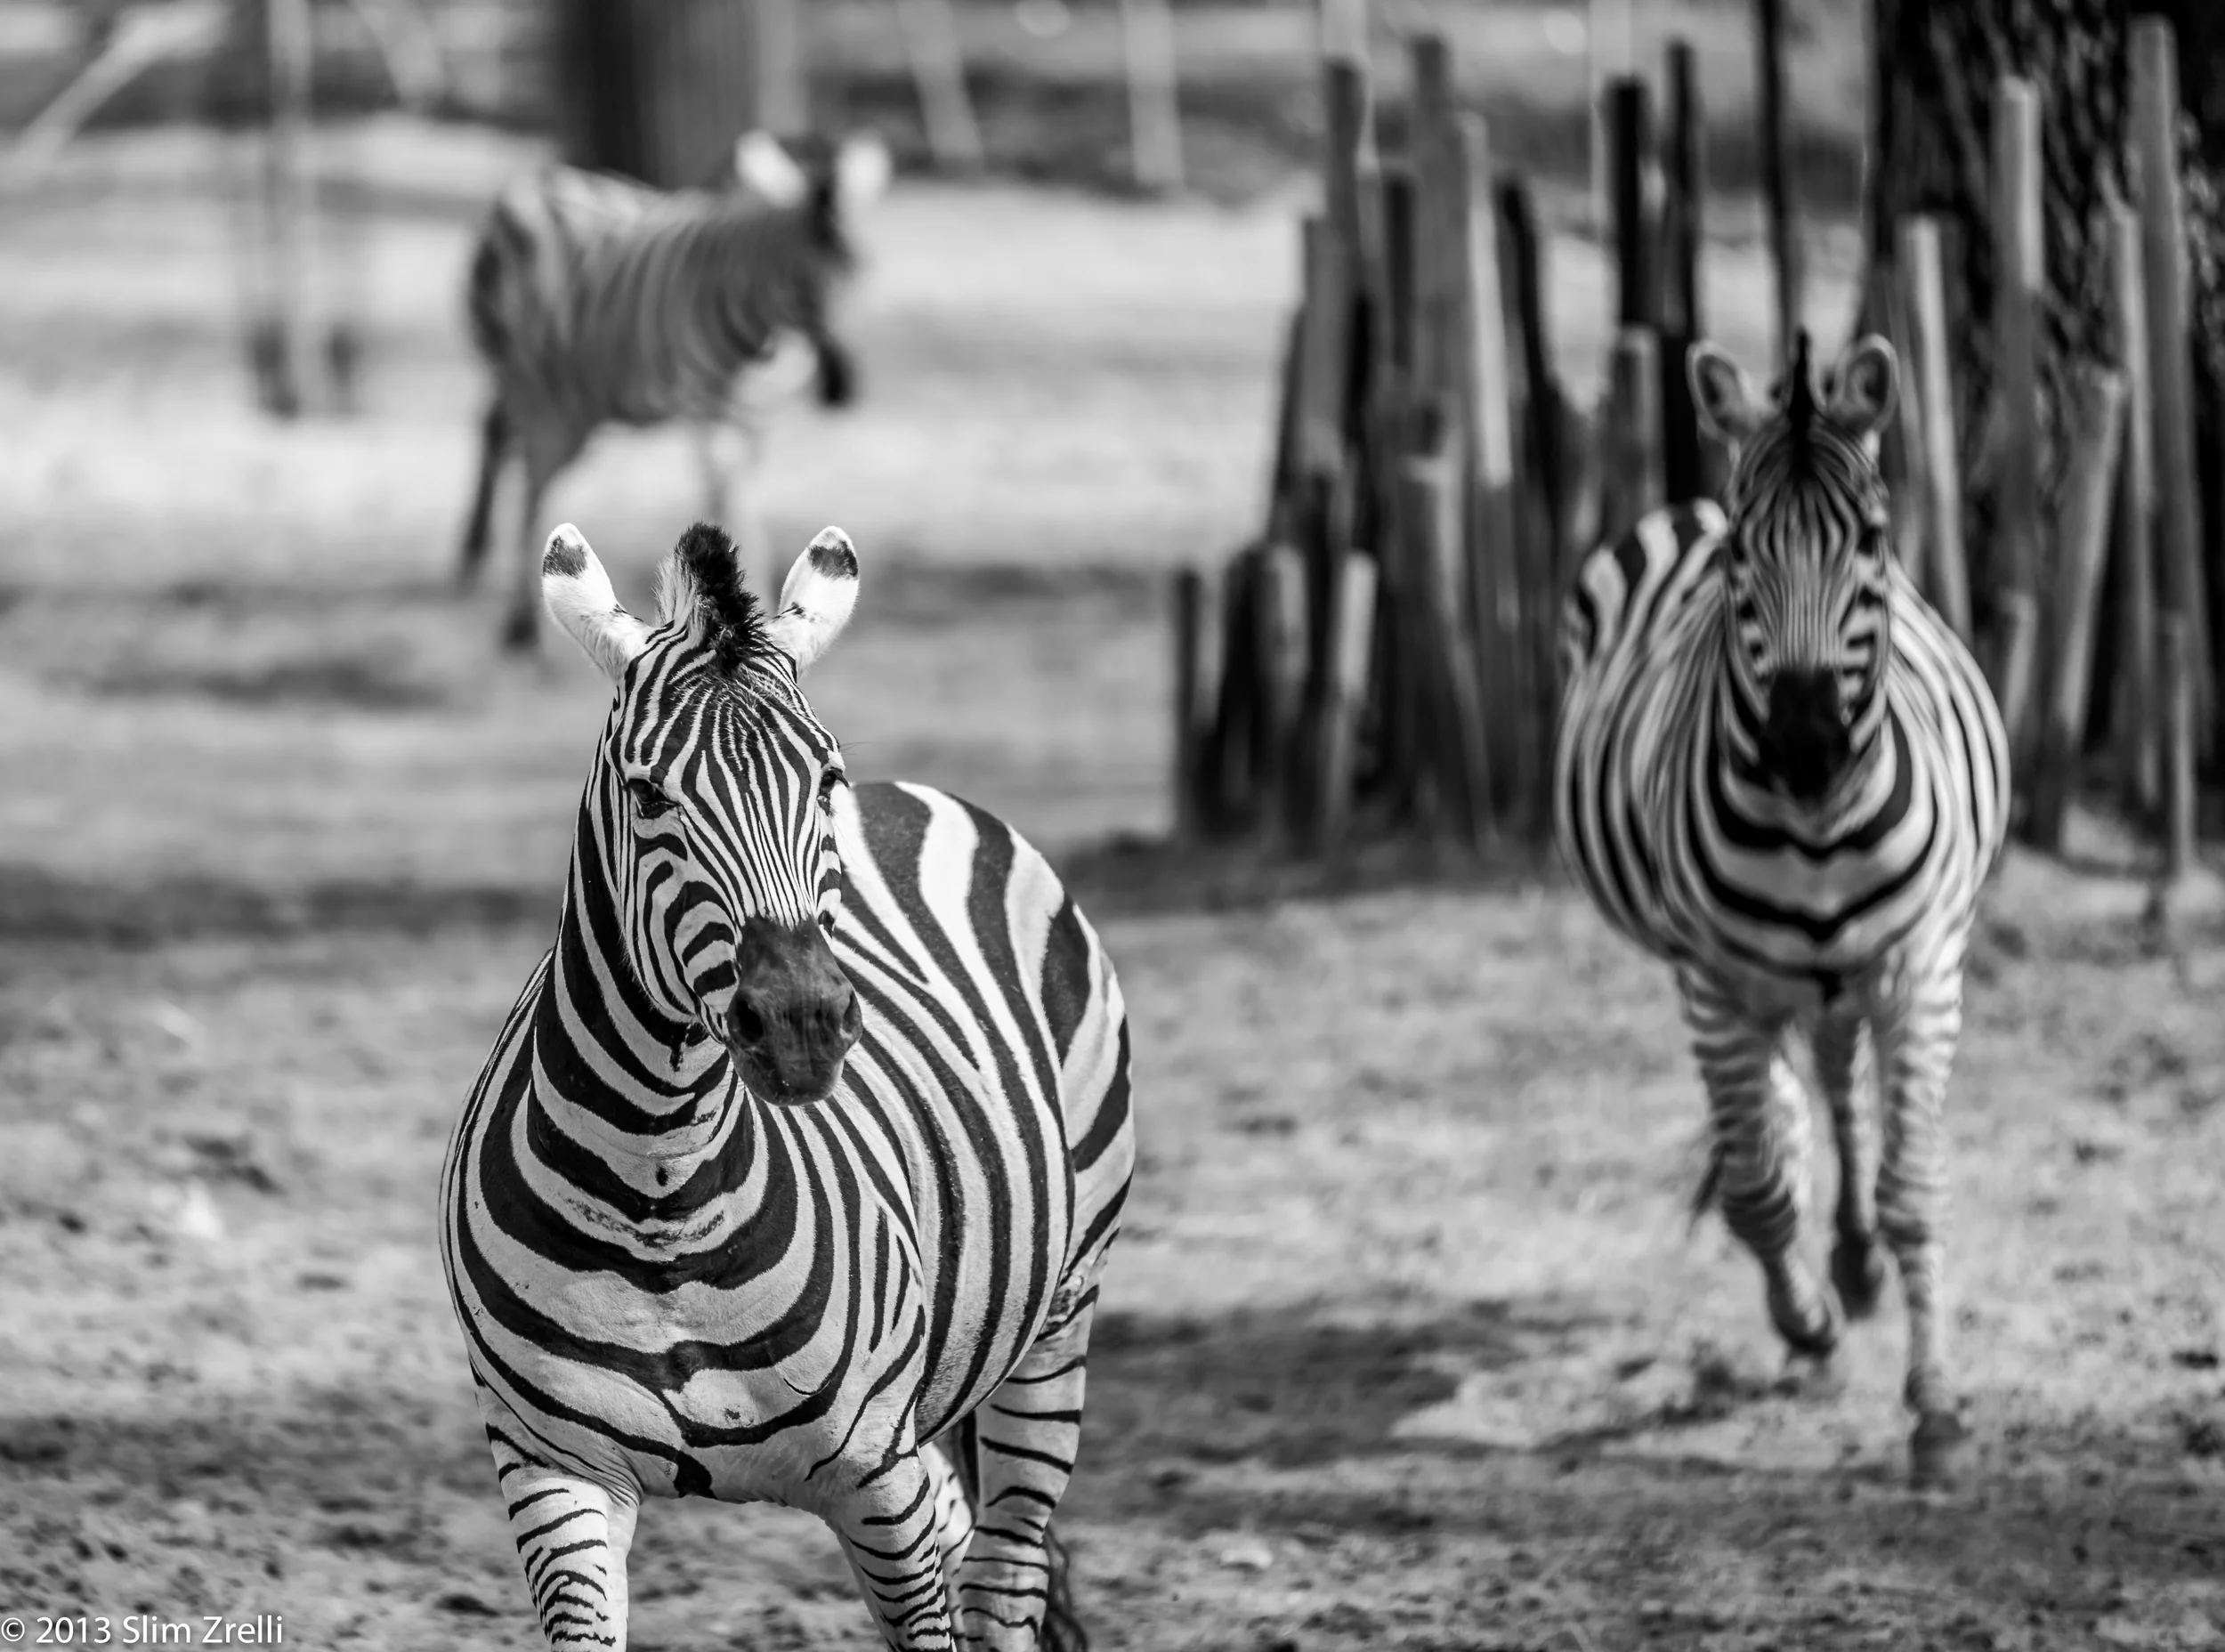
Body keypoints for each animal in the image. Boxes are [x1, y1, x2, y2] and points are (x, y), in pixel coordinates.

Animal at [439, 516, 1135, 1652]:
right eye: (647, 794)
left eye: (822, 780)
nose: (805, 1024)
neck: (659, 1186)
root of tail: (910, 794)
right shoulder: (553, 1471)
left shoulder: (875, 1478)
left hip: (1062, 1311)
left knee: (1005, 1566)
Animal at [456, 129, 891, 651]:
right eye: (800, 276)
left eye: (862, 269)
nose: (839, 386)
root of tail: (531, 184)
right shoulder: (704, 406)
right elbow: (723, 498)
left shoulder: (755, 419)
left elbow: (744, 499)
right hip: (533, 374)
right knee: (526, 469)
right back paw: (516, 617)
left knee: (497, 430)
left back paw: (474, 560)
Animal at [1552, 331, 2010, 1487]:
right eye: (1740, 560)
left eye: (1874, 542)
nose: (1806, 747)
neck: (1813, 828)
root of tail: (1680, 504)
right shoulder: (1713, 980)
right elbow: (1758, 1191)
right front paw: (1806, 1322)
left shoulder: (1920, 964)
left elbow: (1911, 1187)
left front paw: (1934, 1405)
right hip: (1739, 972)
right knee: (1791, 1108)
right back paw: (1827, 1269)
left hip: (1847, 968)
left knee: (1838, 1074)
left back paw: (1855, 1257)